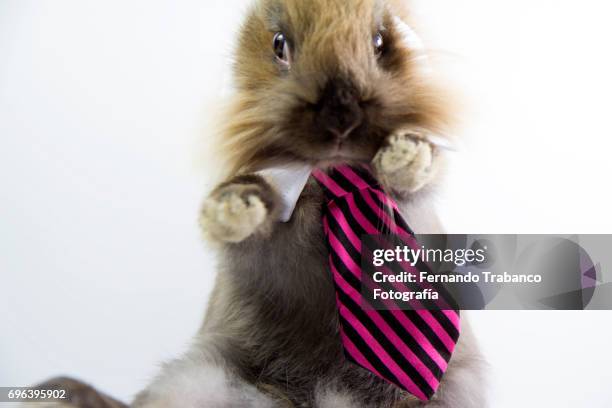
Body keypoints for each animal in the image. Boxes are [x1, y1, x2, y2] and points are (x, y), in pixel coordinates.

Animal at [29, 0, 488, 408]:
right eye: (280, 44)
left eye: (379, 41)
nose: (340, 115)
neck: (329, 175)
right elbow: (252, 207)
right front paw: (232, 211)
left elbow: (417, 177)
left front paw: (405, 156)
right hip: (199, 377)